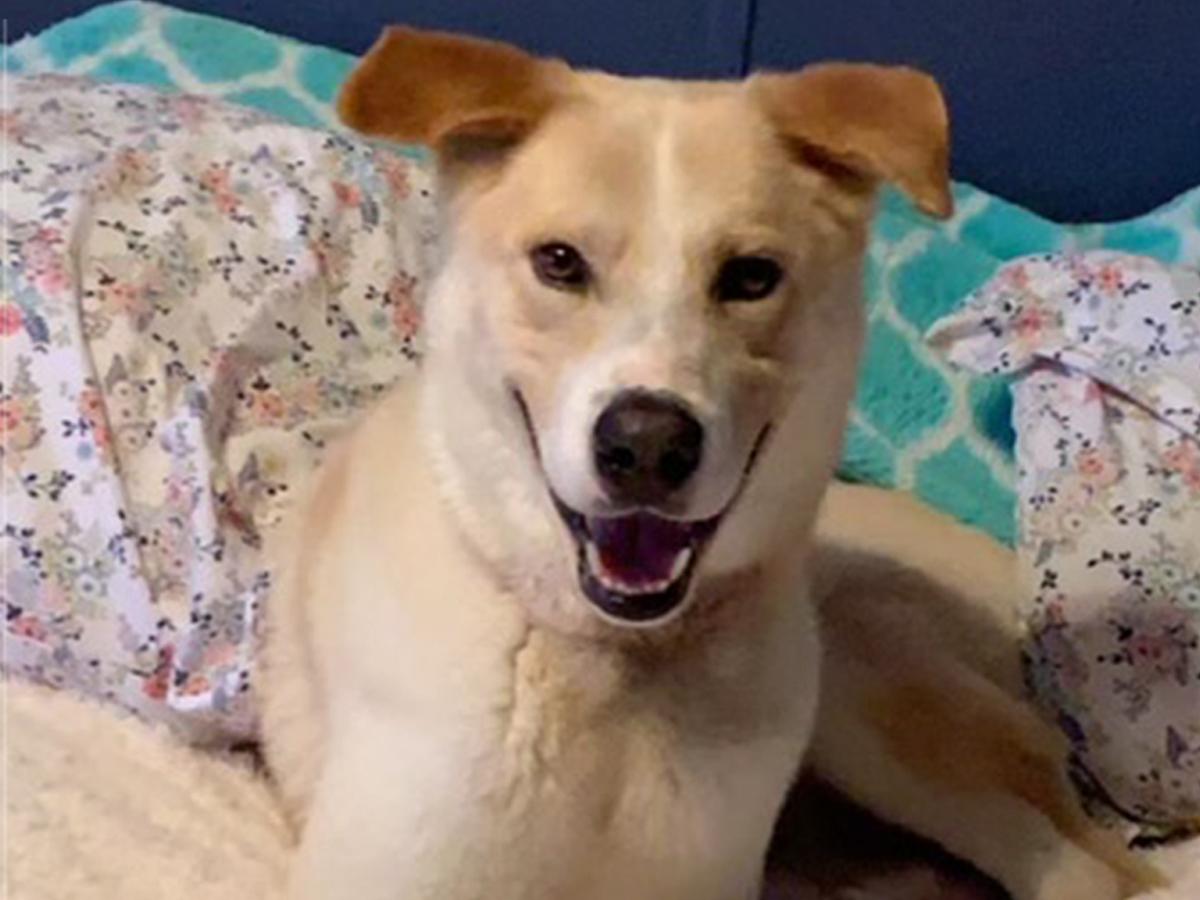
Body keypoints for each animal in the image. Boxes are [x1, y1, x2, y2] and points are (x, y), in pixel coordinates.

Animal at [262, 26, 1167, 900]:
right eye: (559, 262)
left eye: (752, 276)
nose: (645, 445)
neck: (614, 671)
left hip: (869, 705)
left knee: (1090, 869)